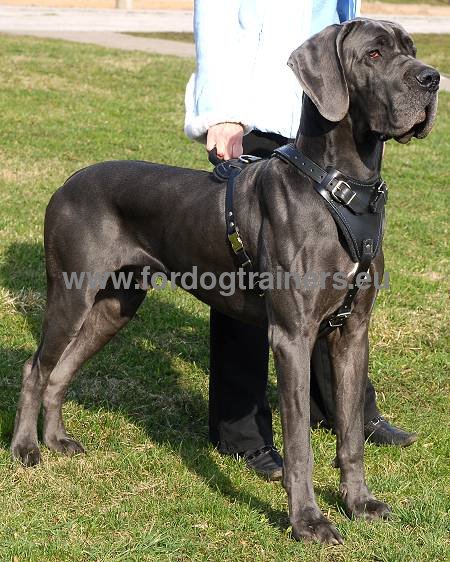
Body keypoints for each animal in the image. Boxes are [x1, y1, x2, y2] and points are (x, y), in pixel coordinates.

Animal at [11, 18, 440, 544]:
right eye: (375, 54)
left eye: (411, 48)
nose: (432, 79)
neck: (339, 189)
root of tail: (66, 182)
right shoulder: (292, 336)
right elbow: (299, 442)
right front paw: (308, 521)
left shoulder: (352, 331)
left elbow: (351, 432)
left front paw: (359, 503)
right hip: (72, 293)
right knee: (36, 368)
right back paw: (27, 449)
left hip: (116, 306)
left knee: (61, 370)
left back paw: (56, 441)